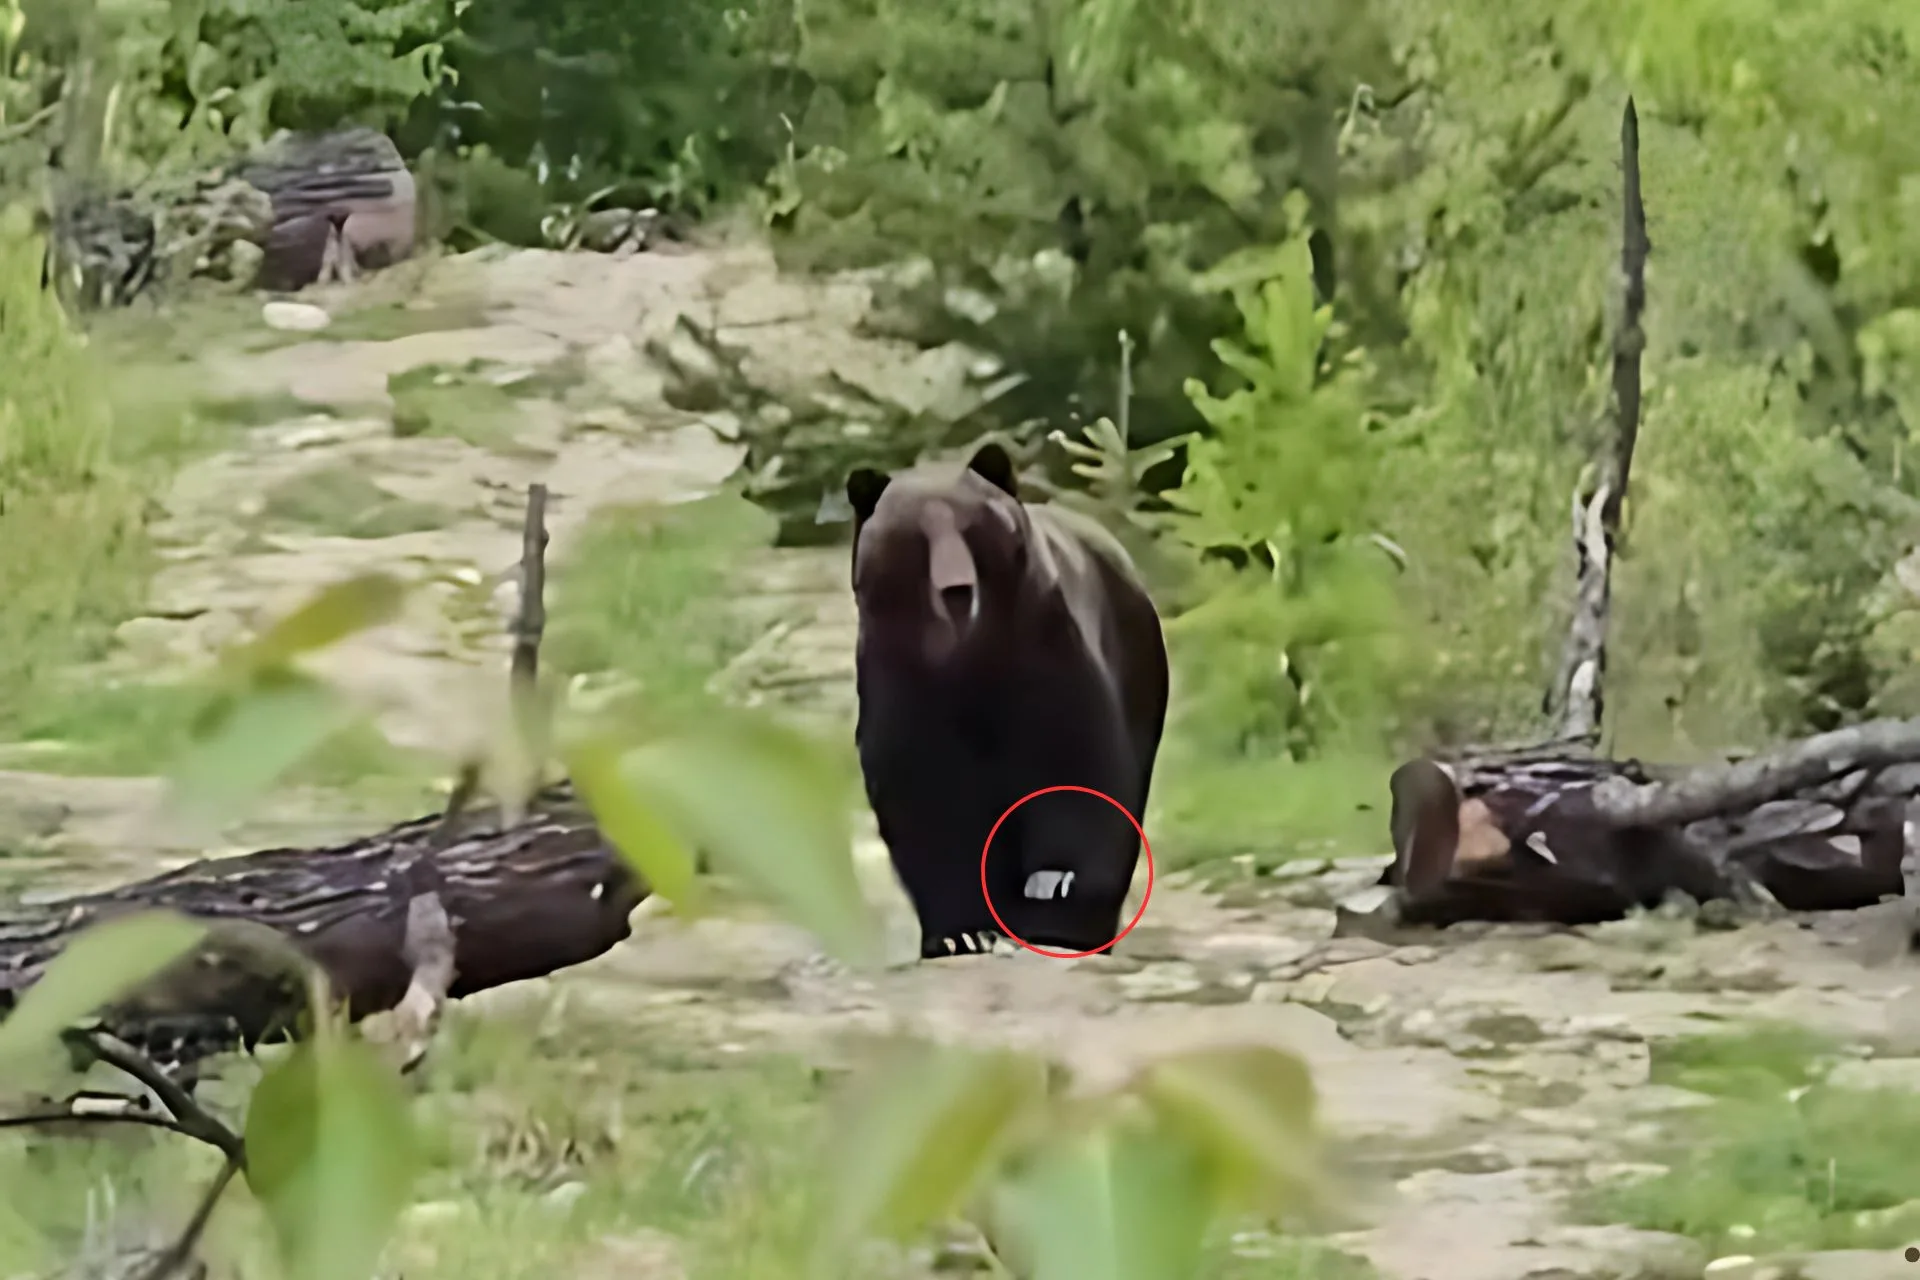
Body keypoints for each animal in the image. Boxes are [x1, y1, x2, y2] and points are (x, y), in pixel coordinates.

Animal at [844, 441, 1170, 959]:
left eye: (971, 526)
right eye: (915, 536)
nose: (956, 589)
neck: (968, 656)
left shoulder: (1046, 650)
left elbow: (1074, 764)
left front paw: (1055, 901)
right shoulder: (901, 680)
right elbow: (927, 793)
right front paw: (959, 932)